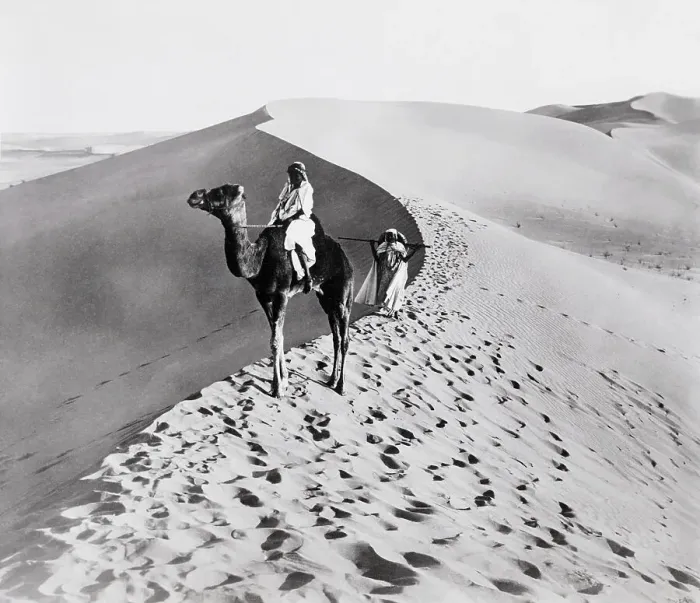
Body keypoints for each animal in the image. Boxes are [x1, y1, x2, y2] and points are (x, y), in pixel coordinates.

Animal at [187, 183, 354, 398]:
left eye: (221, 191)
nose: (195, 195)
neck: (260, 259)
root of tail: (345, 258)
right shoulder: (263, 296)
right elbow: (278, 337)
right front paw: (283, 382)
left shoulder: (281, 294)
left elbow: (275, 340)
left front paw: (277, 389)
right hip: (325, 297)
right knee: (336, 336)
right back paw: (331, 379)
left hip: (343, 293)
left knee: (345, 337)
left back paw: (341, 386)